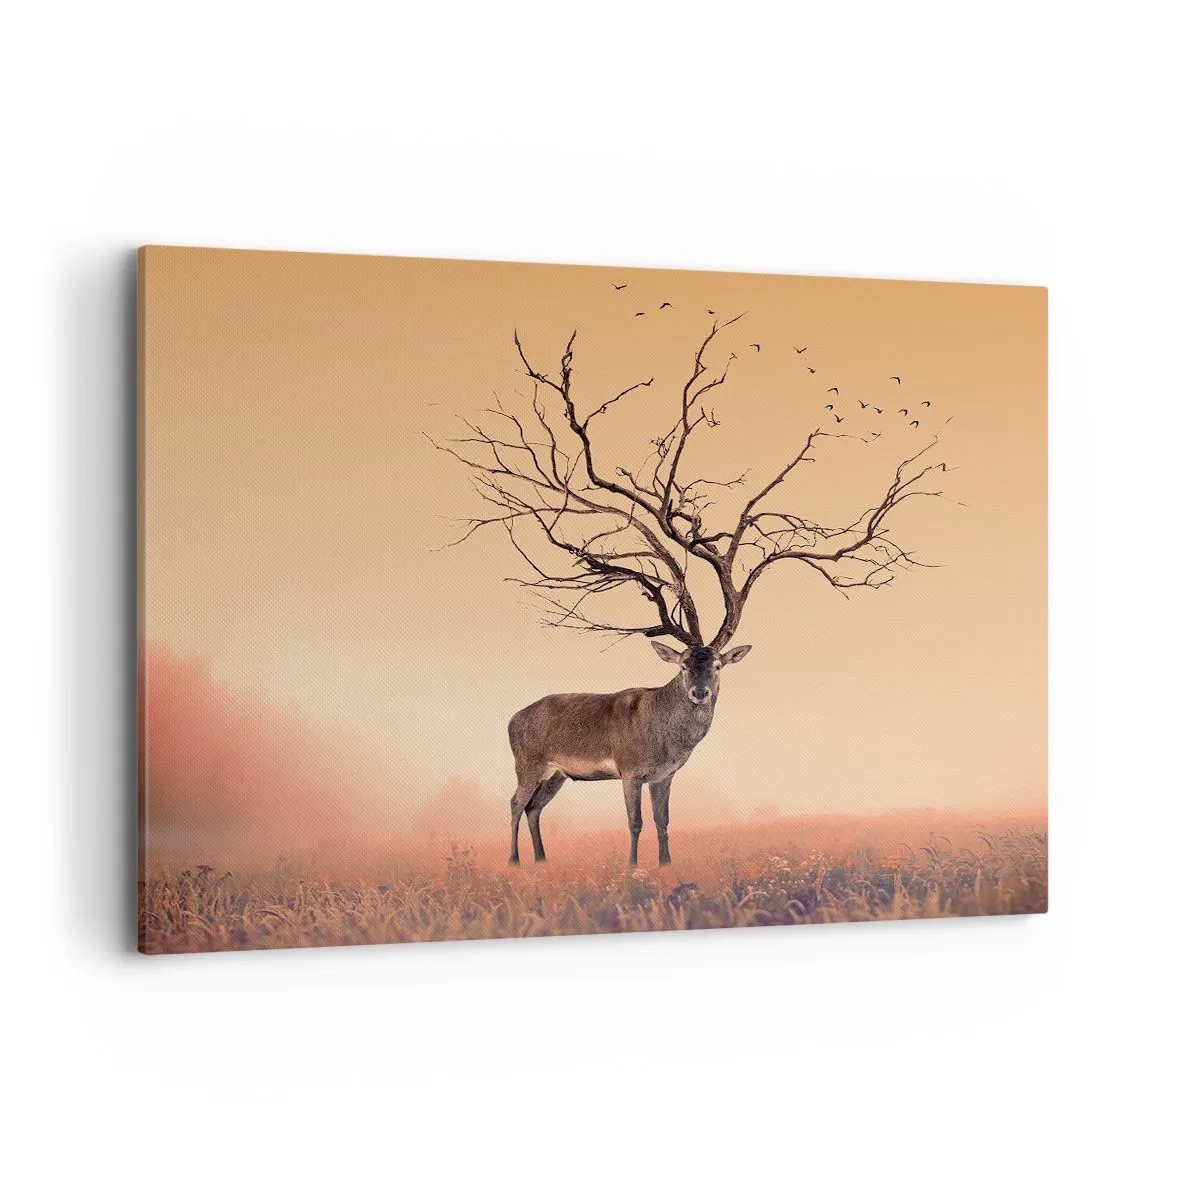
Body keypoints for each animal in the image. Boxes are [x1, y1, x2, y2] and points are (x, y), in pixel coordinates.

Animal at [507, 642, 751, 867]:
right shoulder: (630, 770)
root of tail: (512, 720)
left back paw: (541, 860)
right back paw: (514, 860)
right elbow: (635, 821)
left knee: (534, 807)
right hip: (527, 764)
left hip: (556, 774)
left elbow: (662, 820)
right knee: (516, 803)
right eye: (683, 666)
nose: (700, 692)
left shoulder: (664, 776)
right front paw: (632, 866)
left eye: (718, 666)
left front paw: (665, 864)